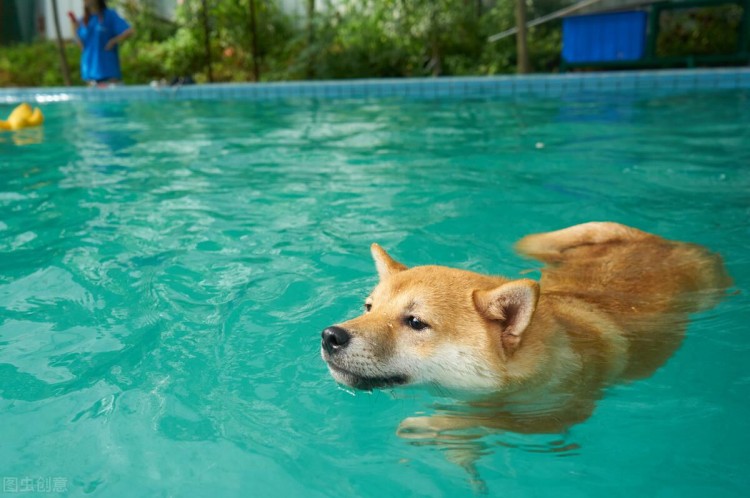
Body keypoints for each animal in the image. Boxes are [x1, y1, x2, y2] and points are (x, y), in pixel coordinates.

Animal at [320, 222, 732, 436]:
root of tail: (645, 237)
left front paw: (437, 424)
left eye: (415, 322)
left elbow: (497, 420)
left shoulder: (561, 412)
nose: (330, 336)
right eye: (369, 308)